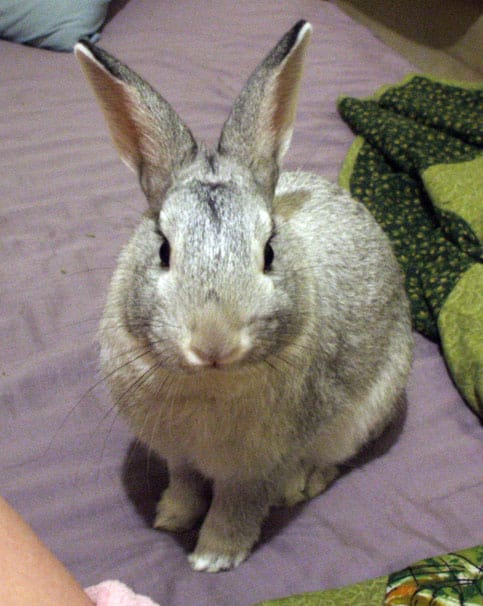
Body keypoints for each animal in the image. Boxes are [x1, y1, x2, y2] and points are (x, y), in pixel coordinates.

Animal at [74, 20, 412, 576]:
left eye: (269, 251)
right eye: (163, 249)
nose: (214, 343)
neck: (208, 384)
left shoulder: (255, 467)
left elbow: (238, 505)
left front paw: (213, 556)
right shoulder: (178, 454)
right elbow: (186, 482)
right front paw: (170, 517)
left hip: (363, 413)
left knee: (329, 464)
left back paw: (298, 488)